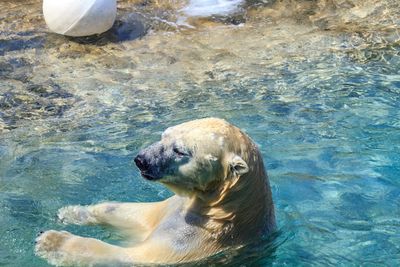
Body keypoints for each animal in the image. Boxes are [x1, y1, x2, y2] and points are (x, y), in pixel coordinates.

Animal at [35, 118, 276, 266]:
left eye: (179, 150)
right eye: (164, 135)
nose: (141, 160)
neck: (223, 210)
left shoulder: (194, 242)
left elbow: (131, 256)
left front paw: (51, 240)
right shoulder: (173, 208)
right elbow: (136, 215)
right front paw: (71, 212)